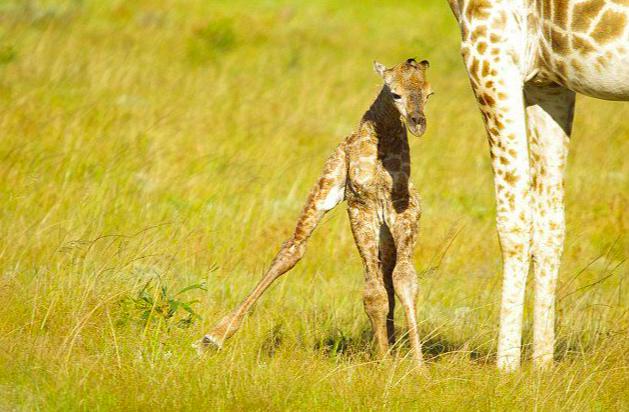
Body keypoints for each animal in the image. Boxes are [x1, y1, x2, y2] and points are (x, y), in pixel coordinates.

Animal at [201, 58, 432, 364]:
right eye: (395, 93)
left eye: (429, 94)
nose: (418, 124)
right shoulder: (359, 205)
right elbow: (374, 294)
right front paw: (384, 362)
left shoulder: (403, 211)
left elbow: (405, 280)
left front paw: (415, 367)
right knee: (293, 249)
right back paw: (212, 337)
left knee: (387, 274)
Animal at [446, 0, 628, 372]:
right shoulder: (549, 80)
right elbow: (550, 224)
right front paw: (543, 366)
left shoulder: (490, 51)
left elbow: (512, 218)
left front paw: (506, 367)